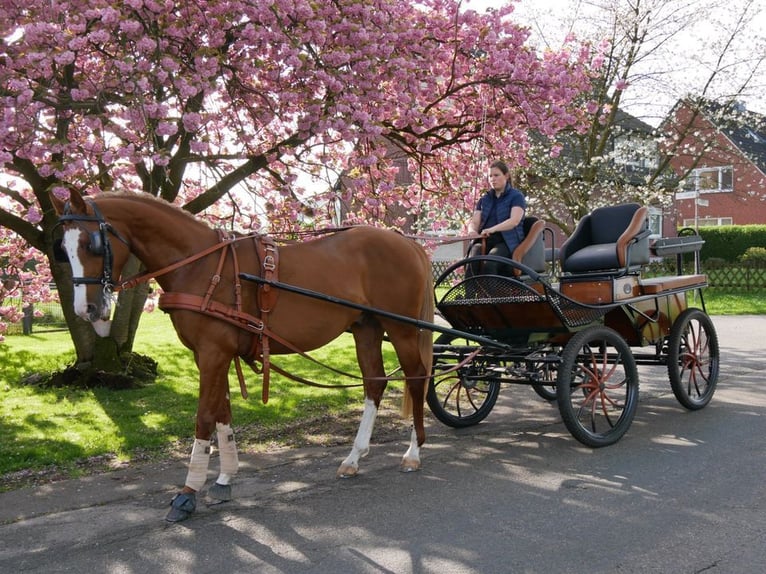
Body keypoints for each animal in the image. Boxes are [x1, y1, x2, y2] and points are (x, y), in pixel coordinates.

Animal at [51, 191, 436, 524]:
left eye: (91, 244)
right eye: (63, 249)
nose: (86, 310)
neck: (202, 264)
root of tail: (407, 242)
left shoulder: (213, 353)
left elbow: (204, 417)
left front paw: (187, 493)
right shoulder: (211, 355)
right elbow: (223, 413)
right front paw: (224, 480)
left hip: (401, 329)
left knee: (417, 377)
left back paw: (414, 453)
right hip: (366, 328)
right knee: (374, 384)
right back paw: (354, 457)